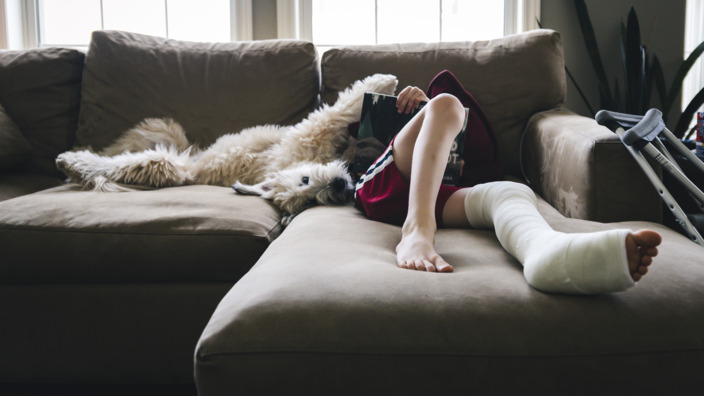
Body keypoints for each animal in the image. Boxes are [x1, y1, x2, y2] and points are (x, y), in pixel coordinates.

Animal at [57, 72, 398, 218]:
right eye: (309, 199)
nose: (339, 186)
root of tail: (192, 166)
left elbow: (344, 112)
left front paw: (384, 83)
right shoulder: (308, 135)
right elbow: (334, 113)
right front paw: (383, 82)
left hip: (163, 130)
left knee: (117, 150)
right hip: (163, 161)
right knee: (114, 164)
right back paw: (71, 162)